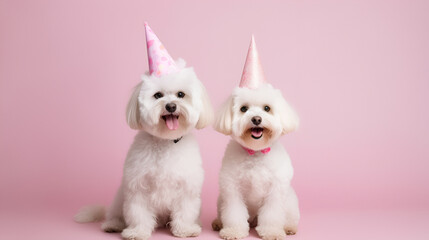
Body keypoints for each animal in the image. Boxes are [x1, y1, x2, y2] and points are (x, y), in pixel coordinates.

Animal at [75, 21, 214, 239]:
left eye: (180, 95)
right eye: (158, 95)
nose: (171, 106)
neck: (166, 141)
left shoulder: (186, 187)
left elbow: (185, 210)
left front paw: (184, 229)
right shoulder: (137, 187)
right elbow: (138, 212)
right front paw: (138, 231)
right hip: (119, 198)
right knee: (115, 213)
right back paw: (112, 224)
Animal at [211, 36, 300, 239]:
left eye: (267, 108)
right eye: (244, 108)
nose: (256, 119)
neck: (256, 153)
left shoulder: (275, 192)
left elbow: (273, 214)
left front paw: (272, 231)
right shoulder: (232, 190)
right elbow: (234, 212)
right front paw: (234, 231)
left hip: (290, 201)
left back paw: (289, 227)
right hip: (220, 200)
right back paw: (218, 223)